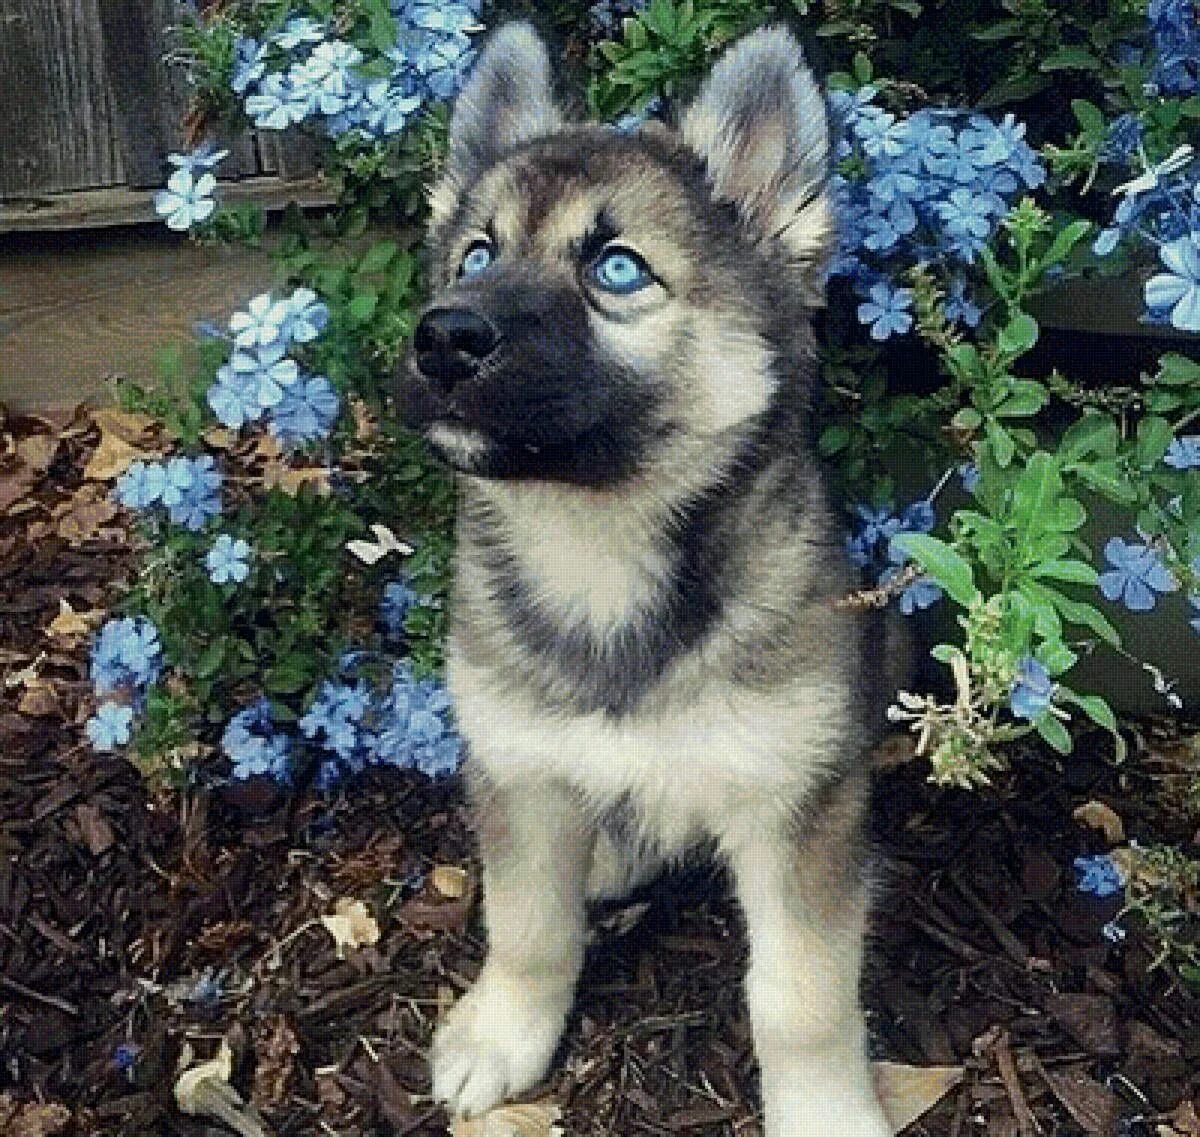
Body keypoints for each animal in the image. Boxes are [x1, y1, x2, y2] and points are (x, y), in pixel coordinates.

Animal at [398, 17, 897, 1137]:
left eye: (618, 270)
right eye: (477, 253)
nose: (443, 335)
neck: (600, 555)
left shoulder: (798, 804)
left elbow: (801, 995)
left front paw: (825, 1111)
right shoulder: (522, 771)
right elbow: (528, 926)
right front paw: (505, 1032)